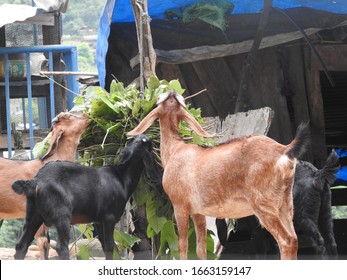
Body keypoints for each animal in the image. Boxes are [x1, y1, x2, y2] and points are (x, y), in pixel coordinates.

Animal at [11, 135, 162, 260]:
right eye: (147, 142)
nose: (154, 142)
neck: (122, 177)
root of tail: (37, 181)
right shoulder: (109, 217)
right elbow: (110, 246)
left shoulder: (99, 220)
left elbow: (105, 247)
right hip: (62, 216)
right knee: (62, 247)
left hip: (33, 215)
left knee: (21, 246)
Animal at [129, 90, 312, 260]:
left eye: (167, 99)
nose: (172, 91)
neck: (175, 149)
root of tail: (283, 150)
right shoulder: (198, 212)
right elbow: (201, 248)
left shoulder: (179, 205)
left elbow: (182, 245)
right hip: (285, 204)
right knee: (294, 239)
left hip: (264, 204)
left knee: (286, 241)